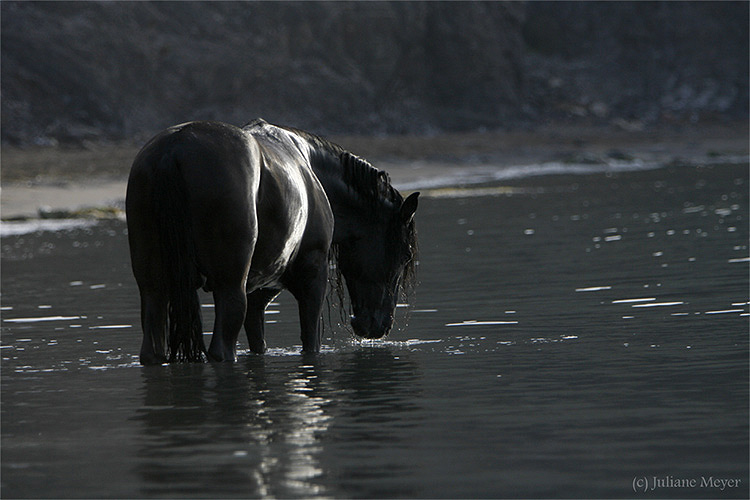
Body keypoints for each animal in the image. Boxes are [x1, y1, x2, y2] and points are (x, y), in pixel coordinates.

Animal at [124, 119, 418, 366]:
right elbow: (311, 343)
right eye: (405, 255)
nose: (379, 326)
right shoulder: (313, 281)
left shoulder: (258, 295)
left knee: (152, 350)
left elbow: (258, 345)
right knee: (221, 350)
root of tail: (175, 148)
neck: (310, 166)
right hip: (230, 288)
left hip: (153, 290)